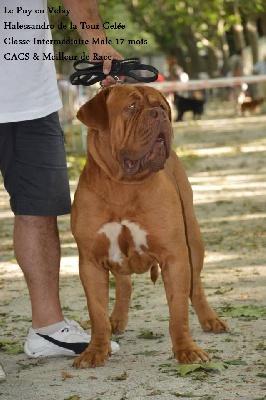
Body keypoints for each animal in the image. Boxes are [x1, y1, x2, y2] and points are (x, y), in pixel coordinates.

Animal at [71, 84, 229, 368]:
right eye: (131, 107)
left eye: (161, 106)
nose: (160, 114)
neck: (123, 186)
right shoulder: (90, 262)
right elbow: (97, 313)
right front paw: (95, 350)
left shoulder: (174, 257)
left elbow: (178, 311)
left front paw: (187, 350)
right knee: (124, 284)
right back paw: (116, 320)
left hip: (193, 240)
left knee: (196, 287)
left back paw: (210, 320)